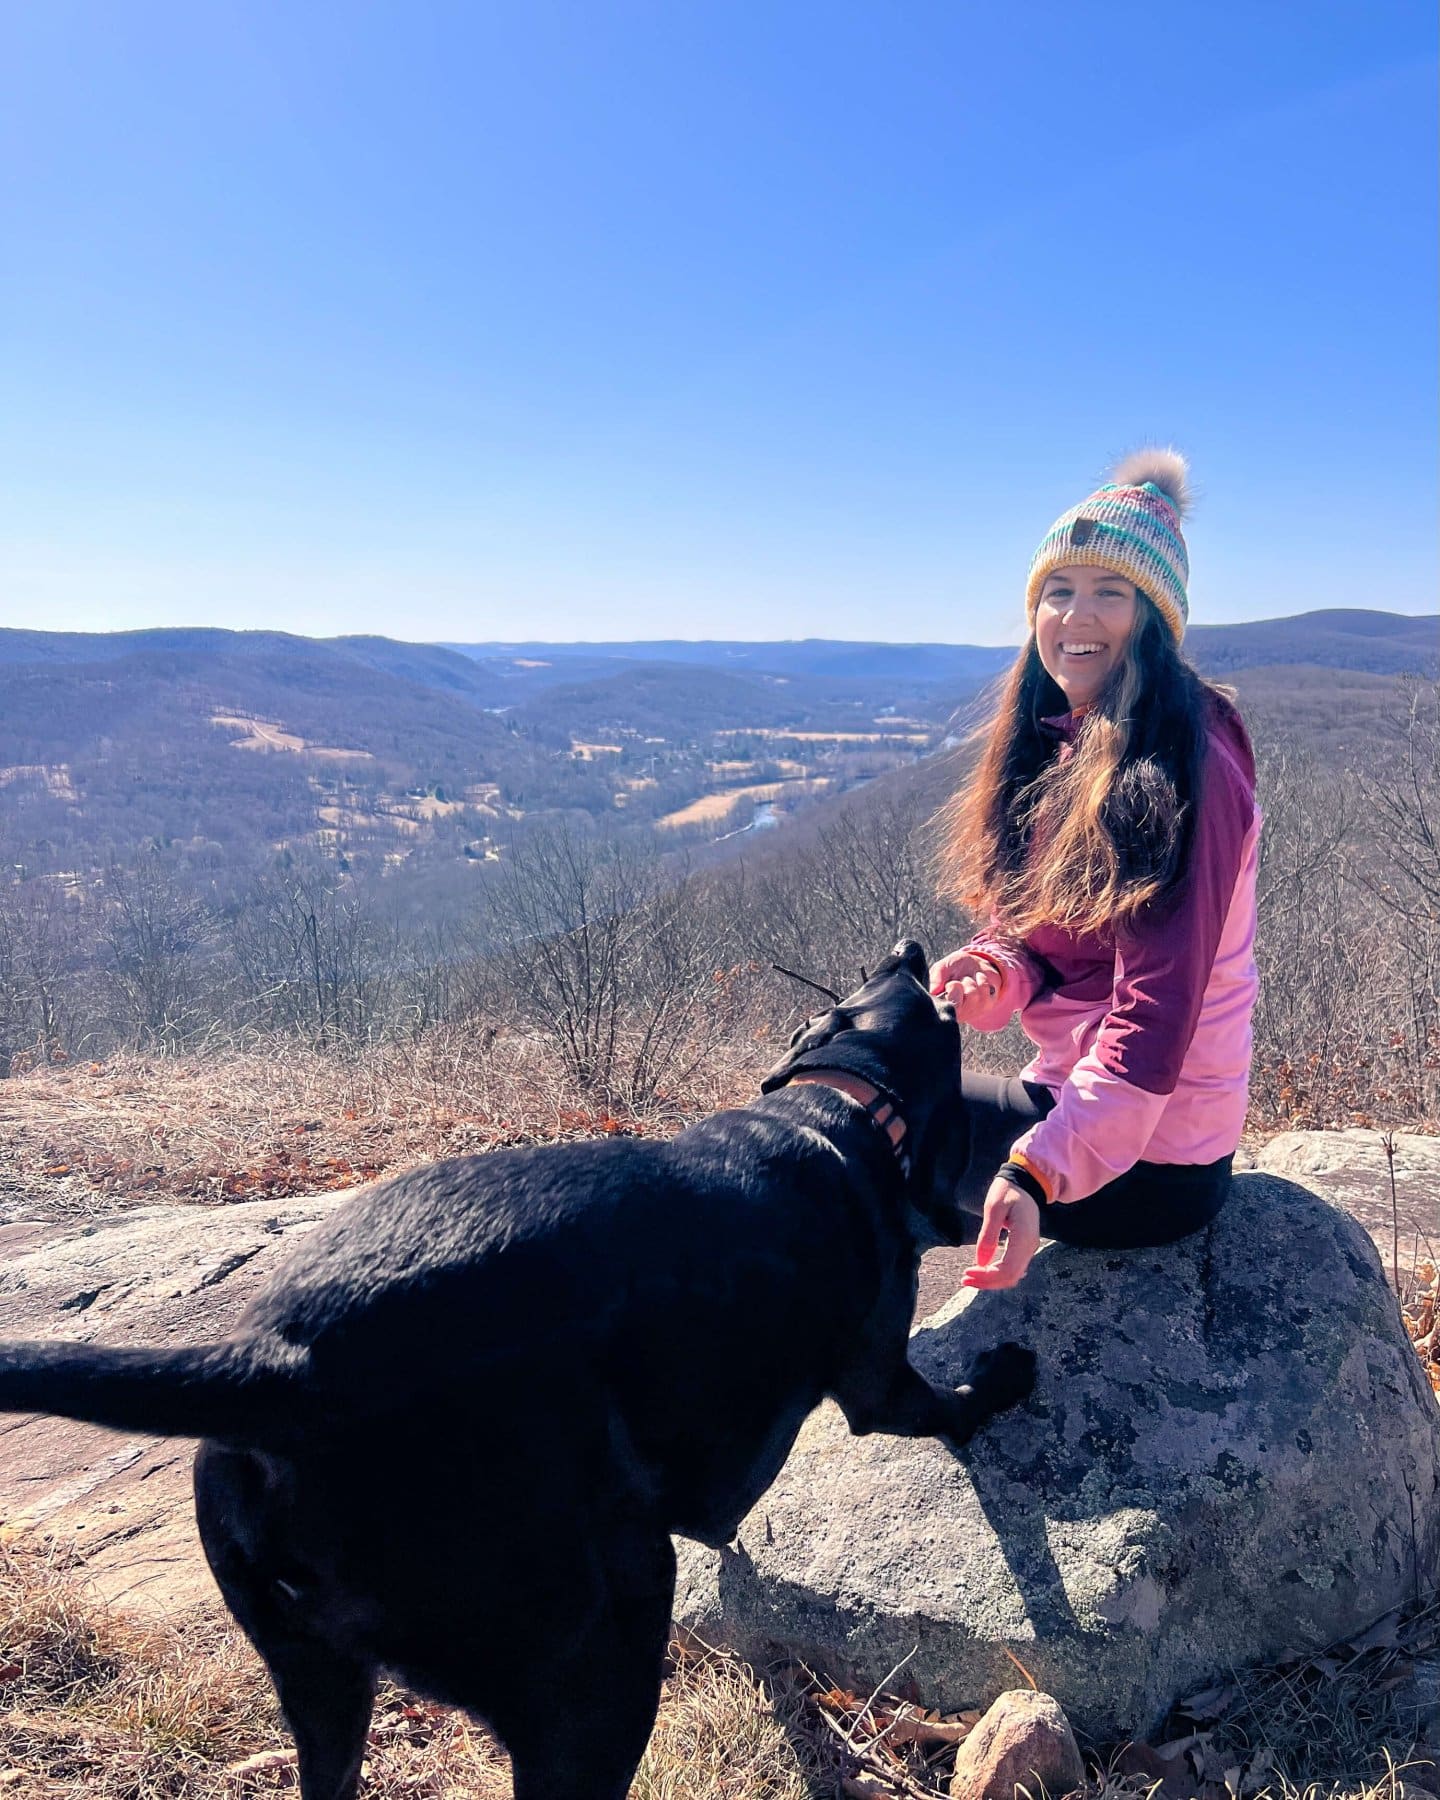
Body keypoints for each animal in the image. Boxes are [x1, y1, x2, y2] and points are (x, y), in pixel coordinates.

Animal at [0, 943, 1036, 1800]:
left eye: (860, 988)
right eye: (936, 1013)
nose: (912, 946)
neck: (835, 1109)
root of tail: (280, 1363)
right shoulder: (877, 1380)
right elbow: (942, 1405)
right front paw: (1000, 1382)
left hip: (322, 1687)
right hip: (606, 1640)